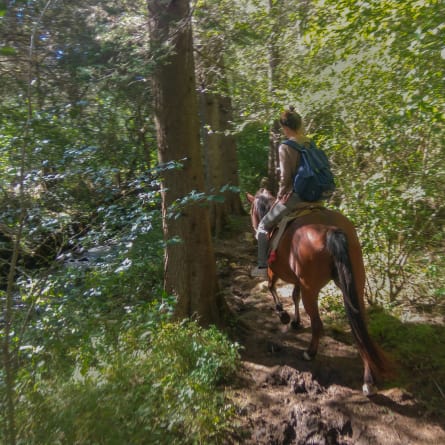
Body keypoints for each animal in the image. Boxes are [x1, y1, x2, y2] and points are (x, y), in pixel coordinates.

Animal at [245, 186, 390, 392]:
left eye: (251, 211)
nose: (254, 227)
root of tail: (331, 230)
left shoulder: (274, 271)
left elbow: (271, 287)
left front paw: (284, 315)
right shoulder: (297, 280)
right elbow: (294, 295)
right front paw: (295, 321)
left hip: (311, 289)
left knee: (317, 323)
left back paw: (310, 353)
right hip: (355, 285)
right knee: (360, 328)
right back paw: (368, 380)